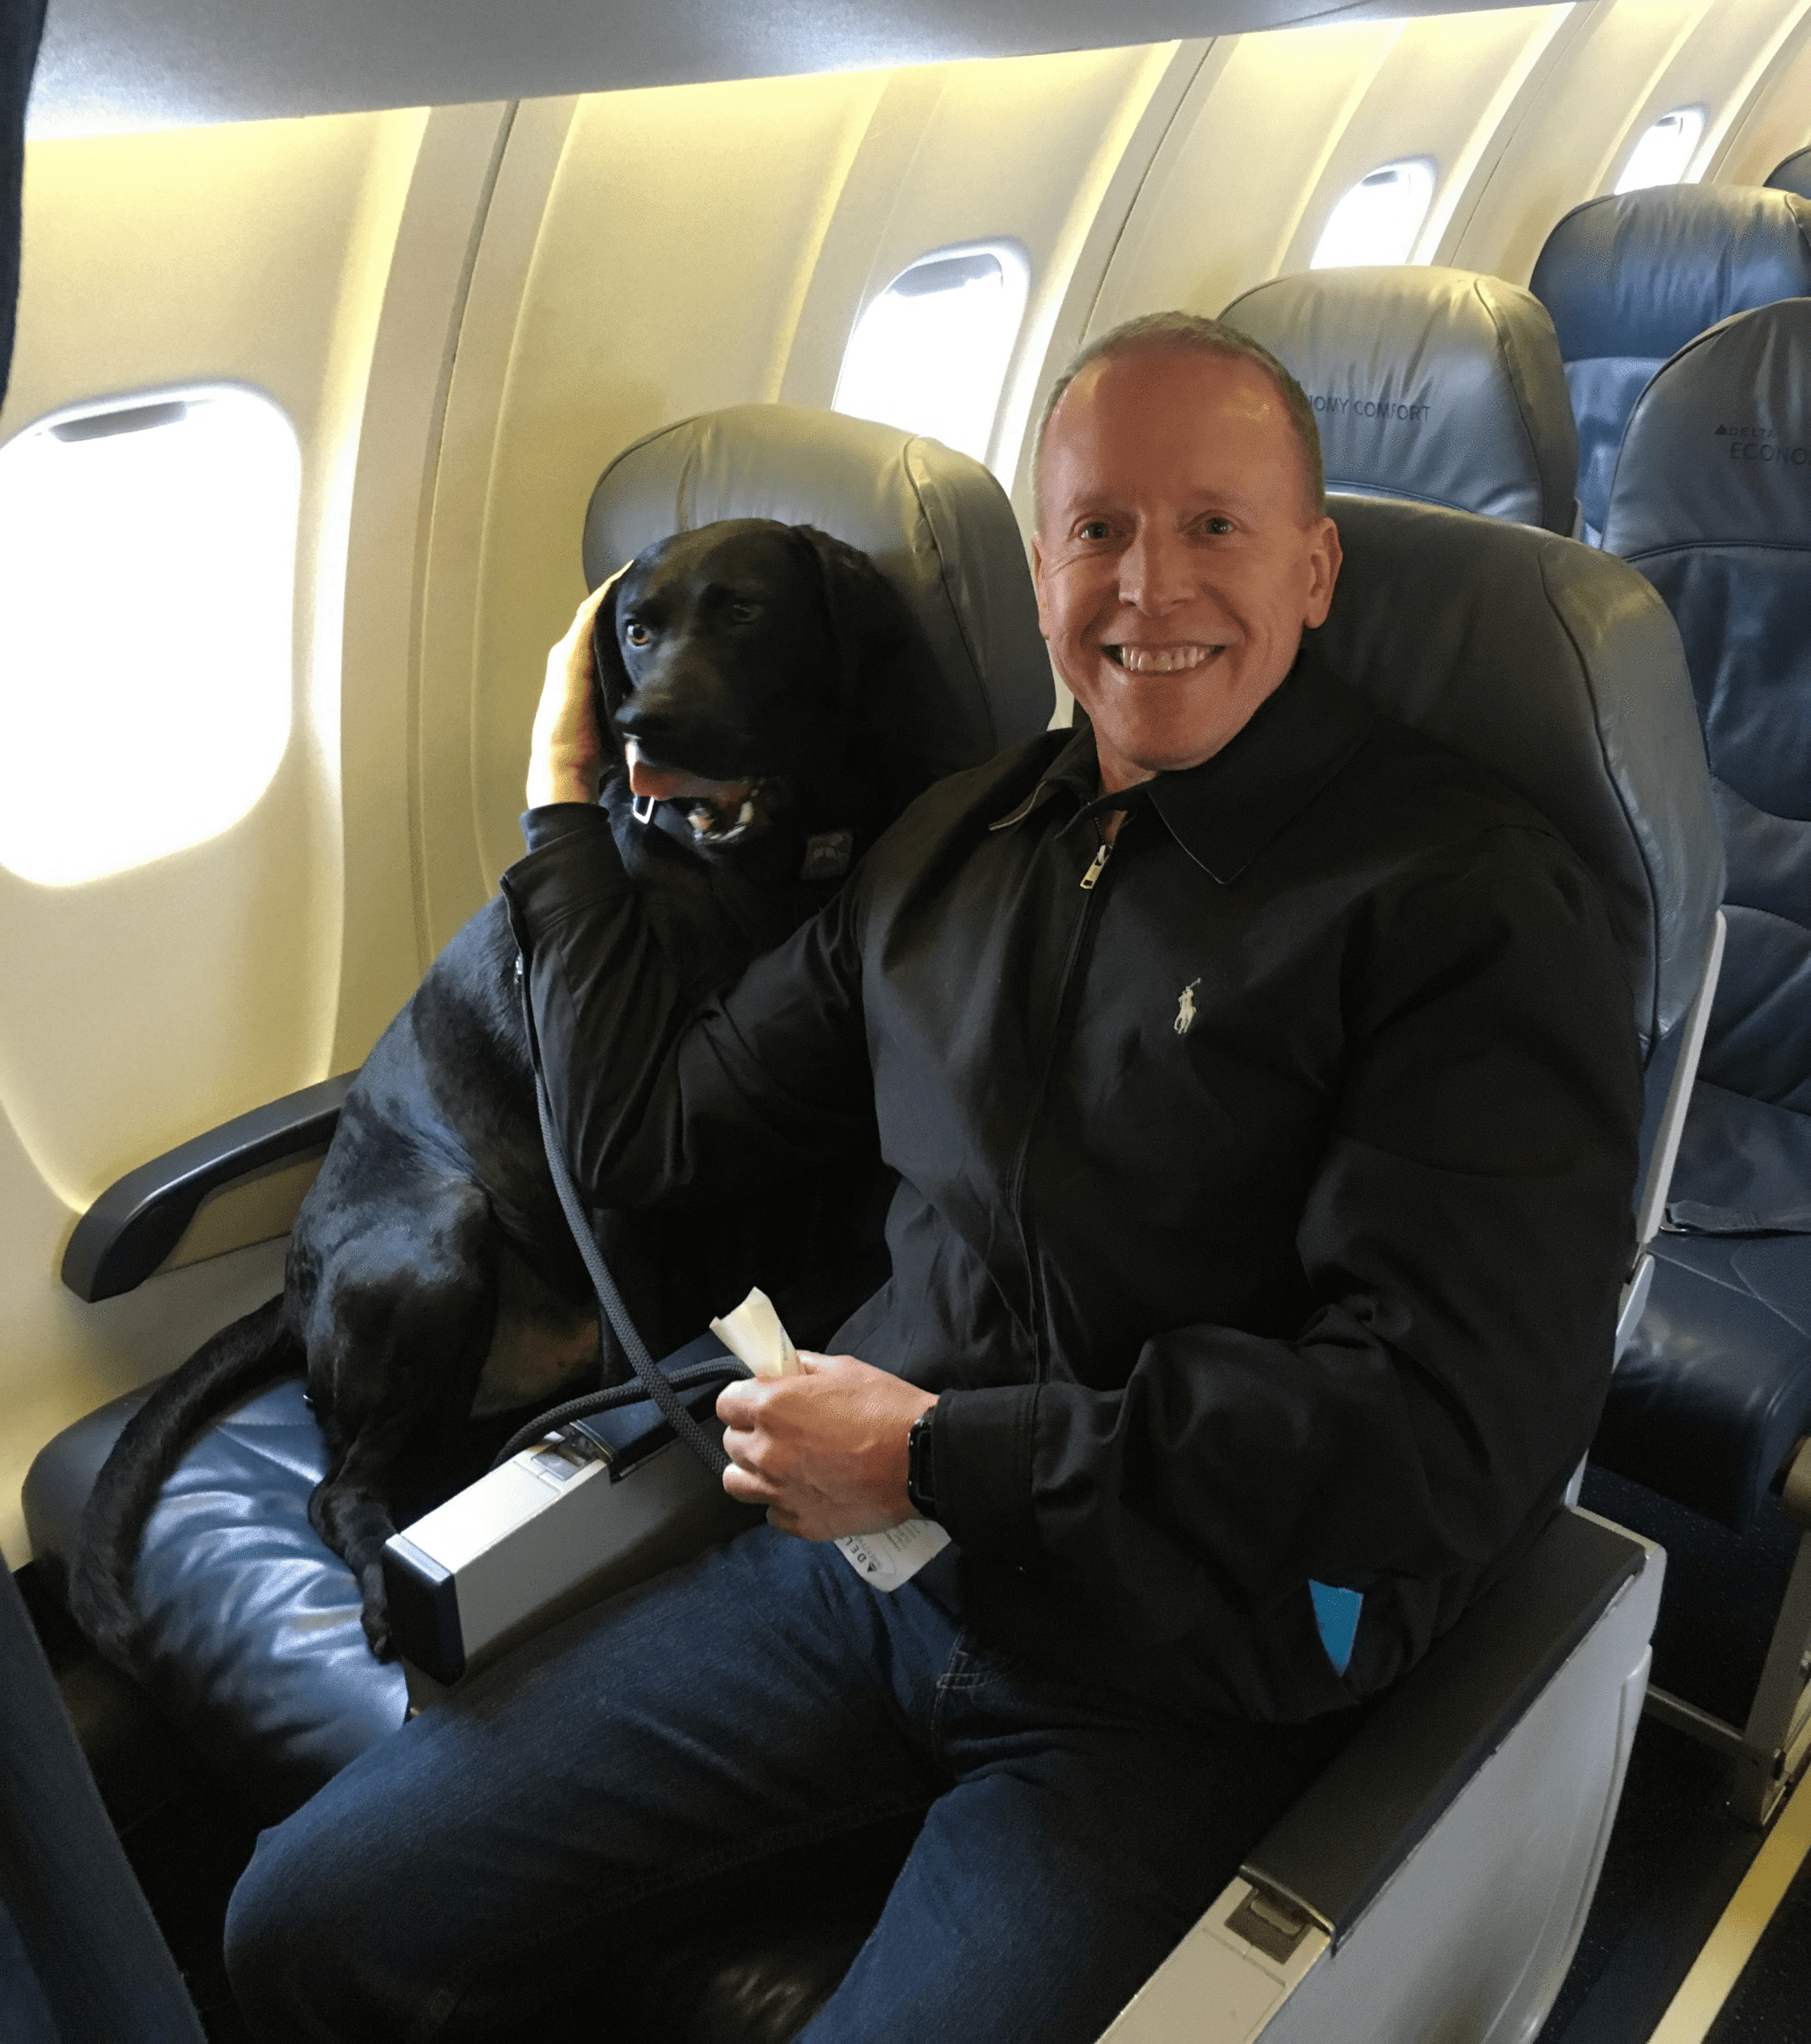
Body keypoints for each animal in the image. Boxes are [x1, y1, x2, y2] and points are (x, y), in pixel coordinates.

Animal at [74, 523, 936, 1659]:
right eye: (636, 629)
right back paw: (382, 1584)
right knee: (338, 1487)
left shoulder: (794, 1167)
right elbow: (641, 1340)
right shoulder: (612, 1183)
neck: (754, 880)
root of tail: (293, 1288)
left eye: (745, 611)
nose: (642, 722)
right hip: (440, 1238)